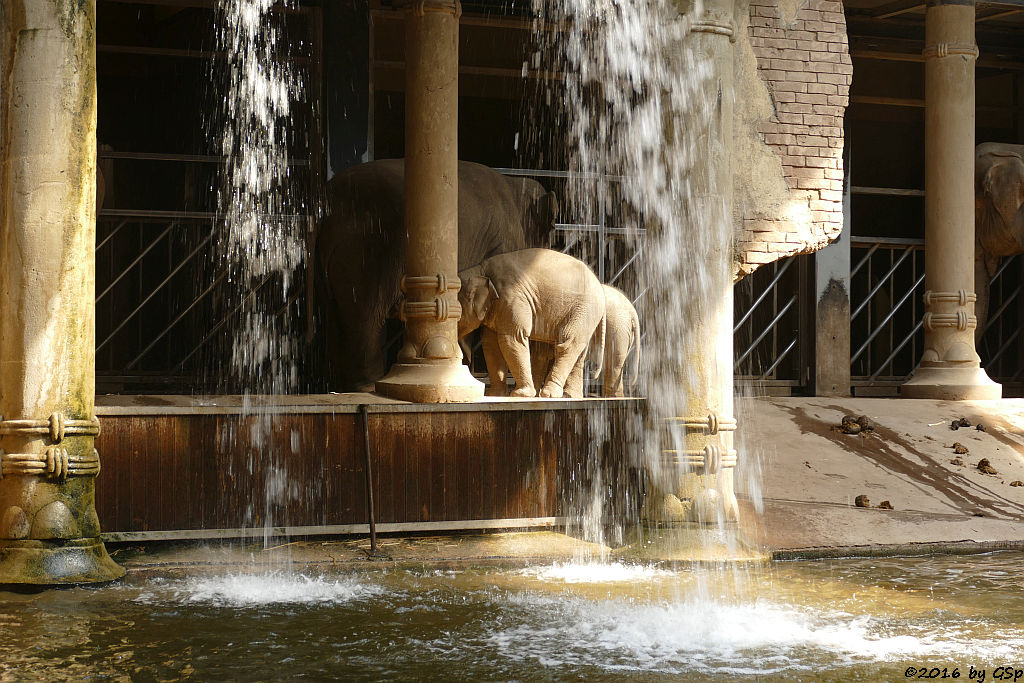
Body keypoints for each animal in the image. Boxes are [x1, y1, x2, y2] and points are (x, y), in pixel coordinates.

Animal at [460, 248, 602, 397]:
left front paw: (520, 395)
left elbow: (512, 338)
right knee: (576, 351)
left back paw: (549, 394)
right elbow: (490, 344)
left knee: (567, 343)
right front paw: (494, 395)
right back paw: (569, 396)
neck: (480, 269)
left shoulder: (511, 298)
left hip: (584, 310)